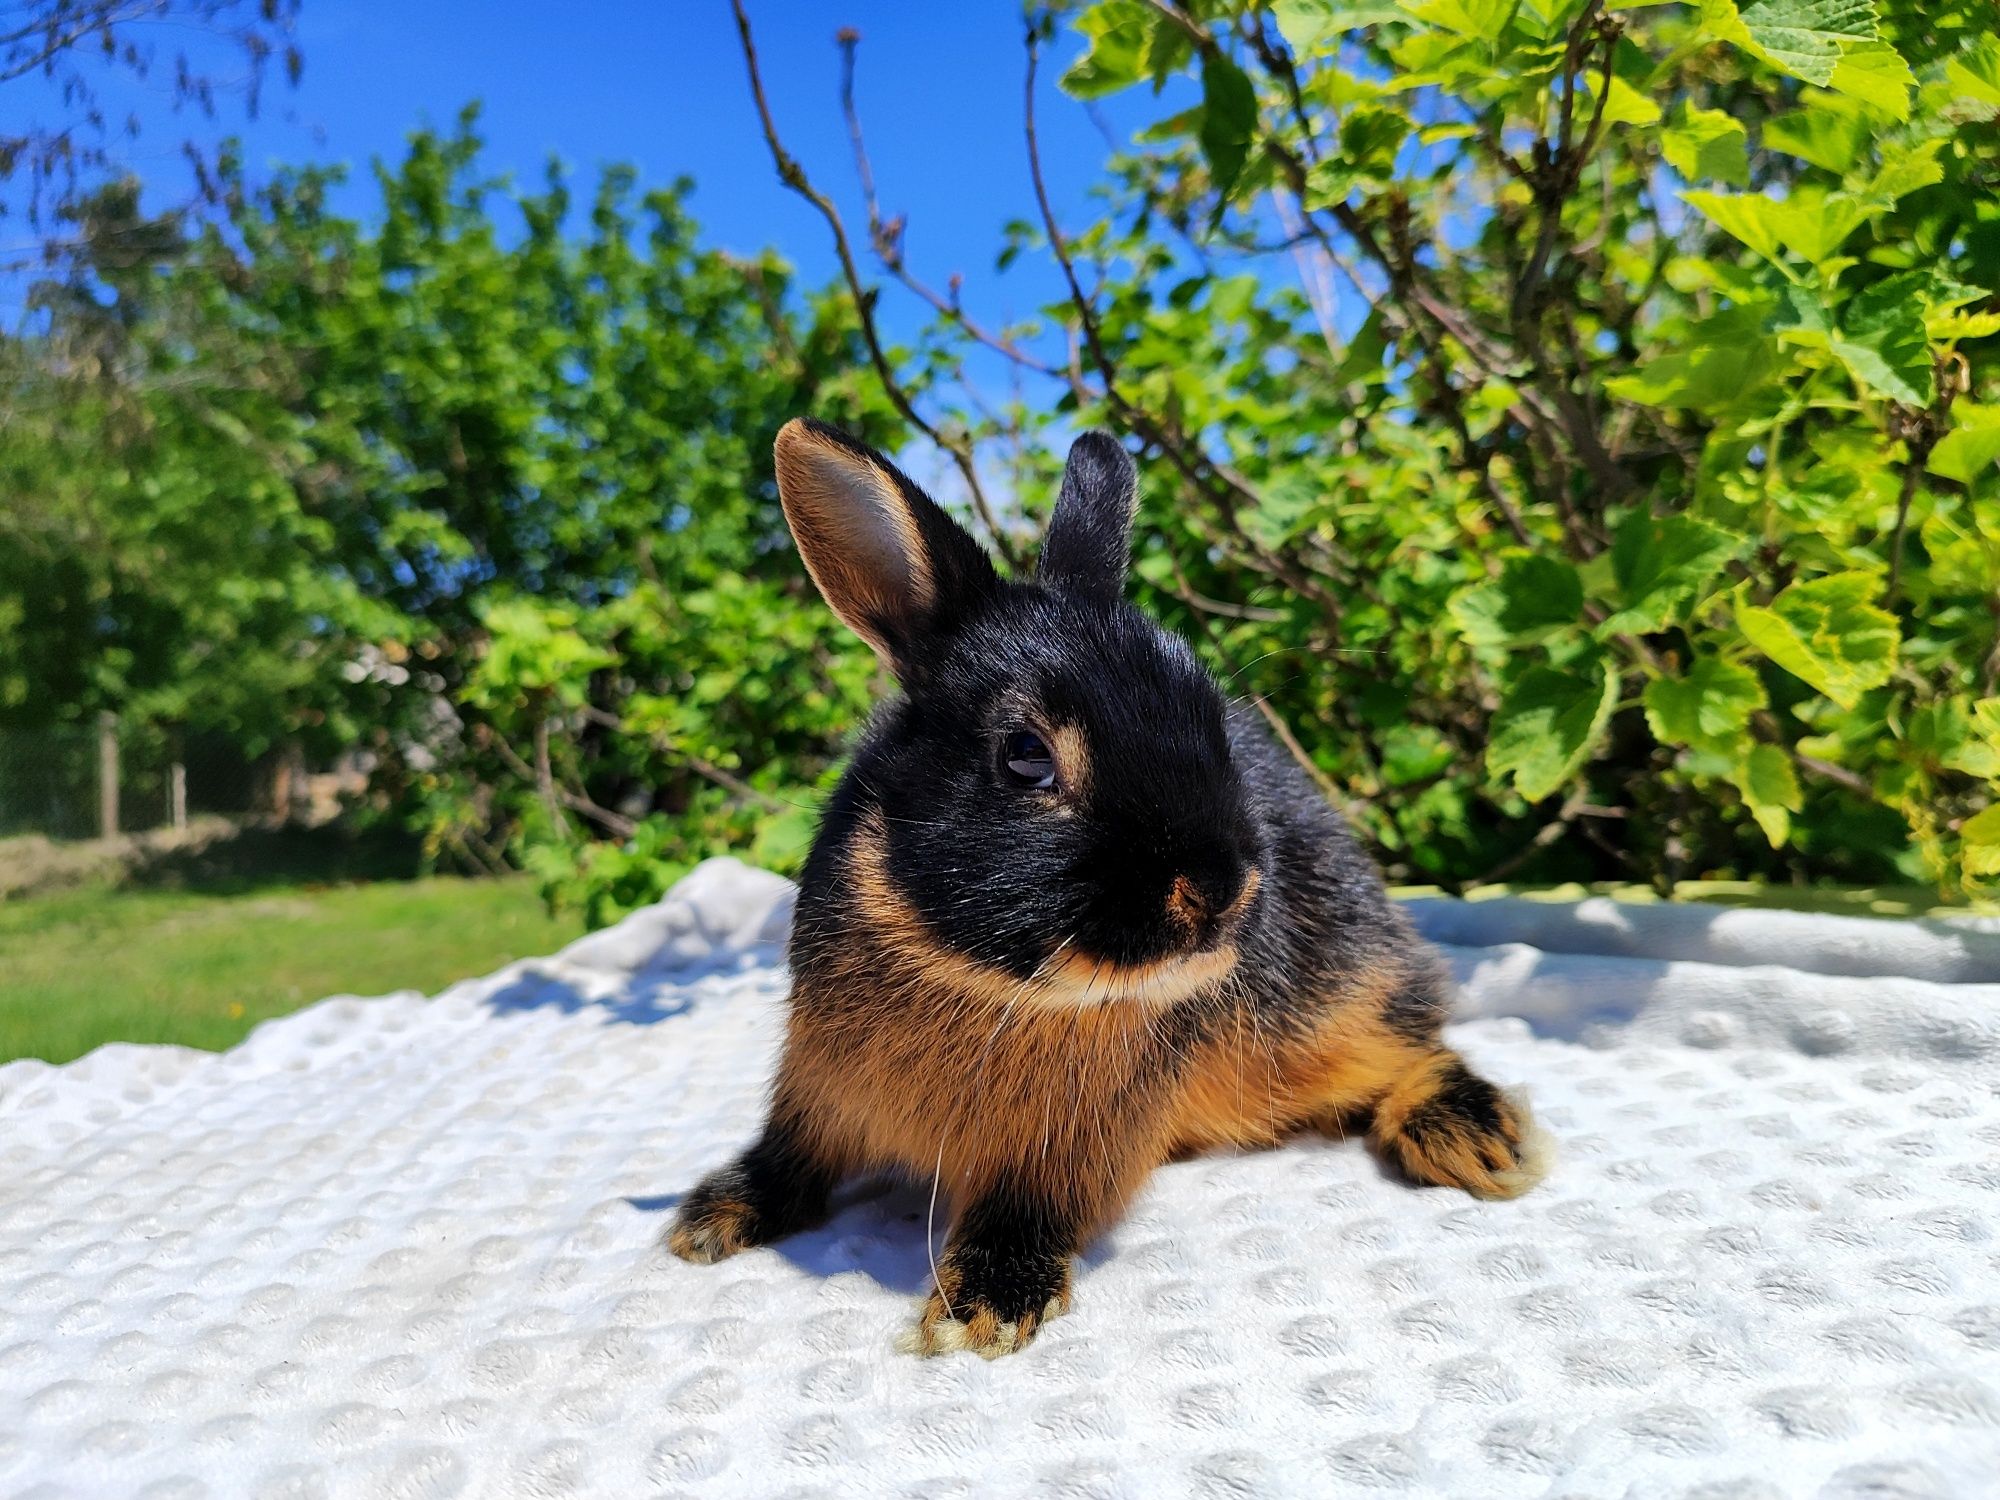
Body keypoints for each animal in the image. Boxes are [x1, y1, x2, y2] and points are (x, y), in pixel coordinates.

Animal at [664, 420, 1552, 1360]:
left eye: (1214, 722)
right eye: (1025, 755)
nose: (1219, 889)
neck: (988, 983)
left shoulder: (1071, 1150)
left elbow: (1031, 1212)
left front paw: (983, 1309)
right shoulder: (814, 1090)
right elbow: (788, 1160)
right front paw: (710, 1220)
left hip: (1337, 1003)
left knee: (1413, 1042)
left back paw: (1477, 1139)